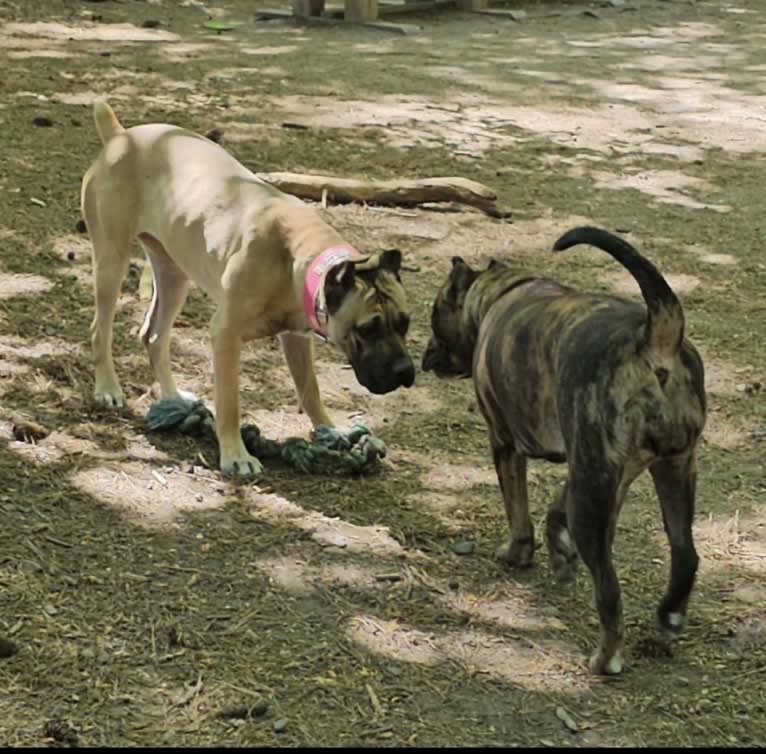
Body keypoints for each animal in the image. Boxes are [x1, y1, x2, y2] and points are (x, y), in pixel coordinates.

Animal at [426, 226, 708, 672]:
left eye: (435, 315)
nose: (424, 355)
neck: (500, 293)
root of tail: (655, 336)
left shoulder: (506, 445)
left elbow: (518, 510)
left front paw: (518, 552)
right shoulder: (598, 474)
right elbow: (554, 509)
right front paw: (560, 554)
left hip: (595, 502)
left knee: (609, 589)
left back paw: (606, 658)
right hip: (671, 473)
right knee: (685, 555)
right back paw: (669, 614)